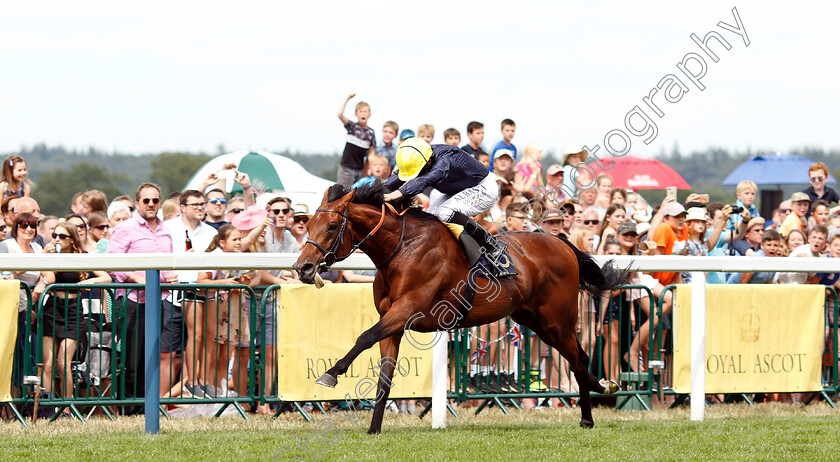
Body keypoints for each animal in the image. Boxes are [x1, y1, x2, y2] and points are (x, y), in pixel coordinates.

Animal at [292, 183, 628, 434]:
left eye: (332, 225)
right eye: (307, 224)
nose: (302, 268)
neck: (401, 247)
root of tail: (564, 244)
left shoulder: (407, 309)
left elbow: (363, 337)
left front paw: (330, 374)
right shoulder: (392, 321)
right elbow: (384, 374)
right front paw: (374, 428)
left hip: (558, 320)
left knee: (577, 360)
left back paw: (587, 417)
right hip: (535, 321)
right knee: (579, 357)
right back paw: (603, 387)